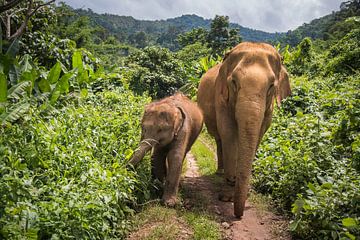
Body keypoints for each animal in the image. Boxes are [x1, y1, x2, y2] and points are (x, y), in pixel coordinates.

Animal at [197, 41, 290, 218]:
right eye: (233, 82)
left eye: (271, 86)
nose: (239, 215)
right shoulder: (221, 97)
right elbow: (229, 132)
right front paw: (227, 197)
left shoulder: (269, 109)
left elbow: (258, 135)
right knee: (220, 139)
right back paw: (220, 173)